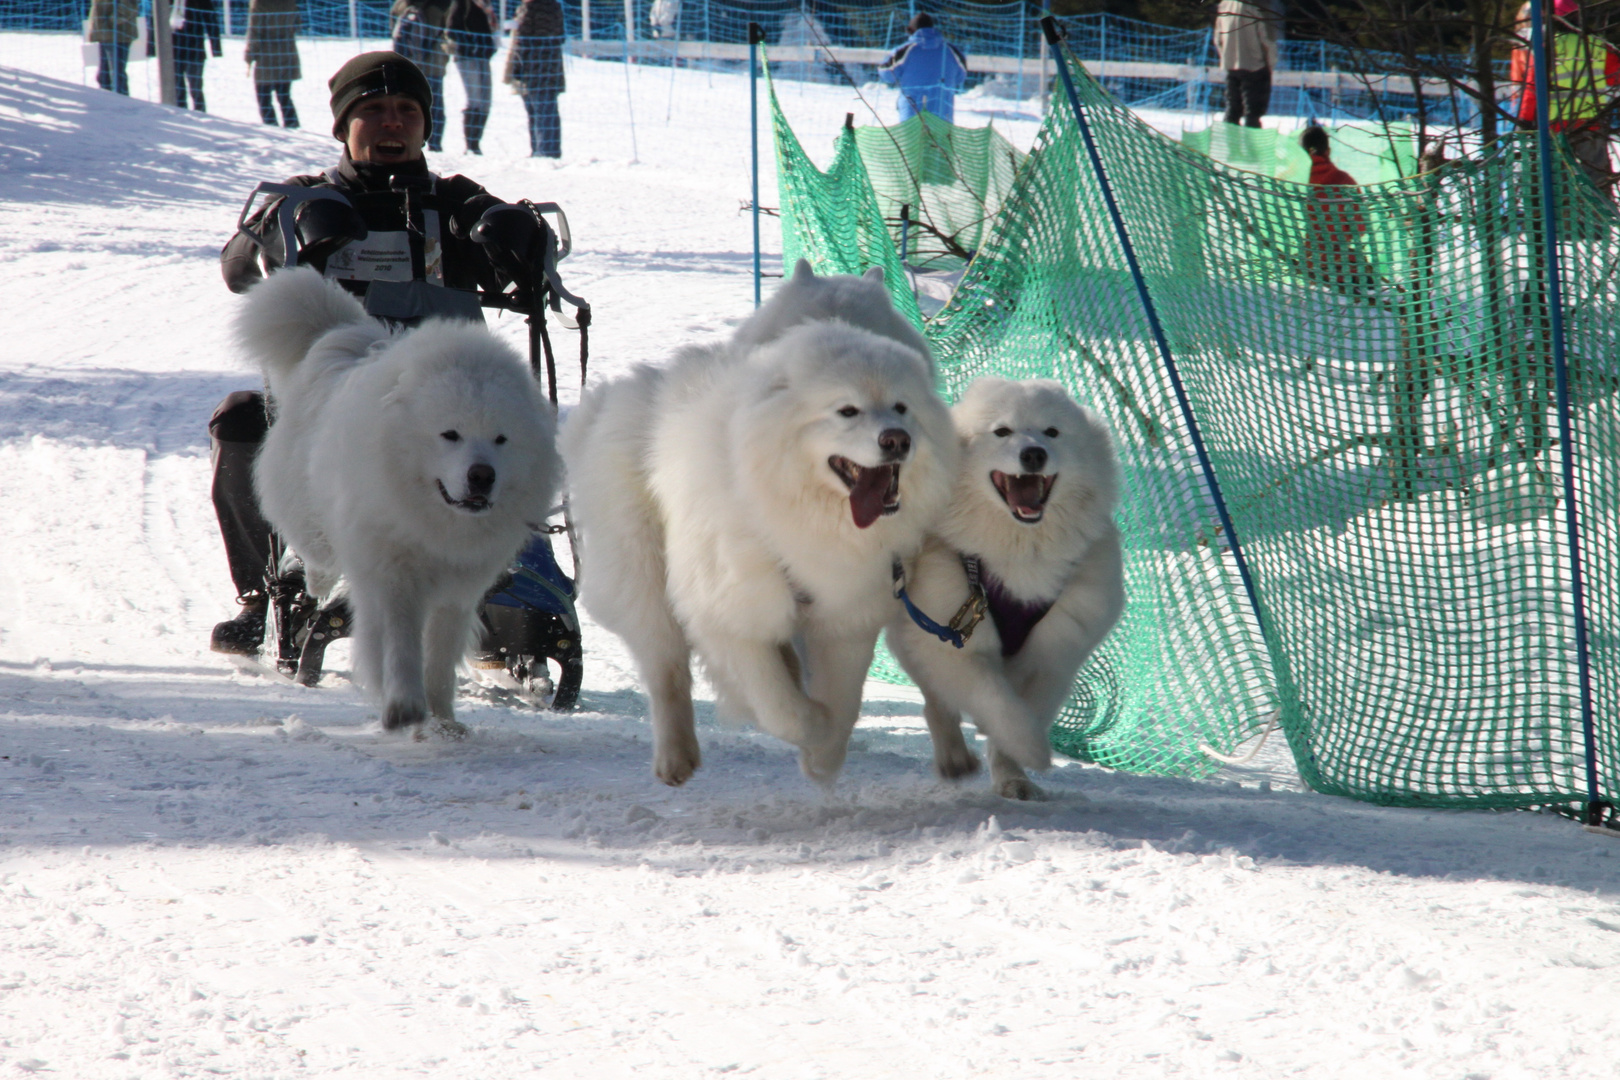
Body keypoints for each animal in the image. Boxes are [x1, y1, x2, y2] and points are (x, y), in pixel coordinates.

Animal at [234, 265, 563, 731]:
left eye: (501, 439)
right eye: (450, 434)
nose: (482, 476)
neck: (431, 520)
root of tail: (347, 336)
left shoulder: (458, 593)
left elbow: (440, 660)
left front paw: (443, 720)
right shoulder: (393, 581)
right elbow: (401, 648)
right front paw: (404, 708)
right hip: (309, 510)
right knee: (311, 551)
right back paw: (313, 581)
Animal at [563, 262, 952, 786]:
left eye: (901, 407)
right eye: (847, 410)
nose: (897, 440)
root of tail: (618, 396)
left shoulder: (846, 614)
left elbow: (844, 701)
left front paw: (825, 757)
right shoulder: (730, 610)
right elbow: (784, 707)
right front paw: (812, 732)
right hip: (646, 578)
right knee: (666, 669)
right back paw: (676, 756)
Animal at [887, 375, 1127, 799]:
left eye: (1052, 432)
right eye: (1002, 431)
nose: (1034, 454)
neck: (1021, 552)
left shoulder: (1054, 654)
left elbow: (1027, 707)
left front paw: (1014, 776)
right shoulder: (953, 641)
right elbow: (998, 702)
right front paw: (1032, 749)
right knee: (936, 702)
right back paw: (954, 757)